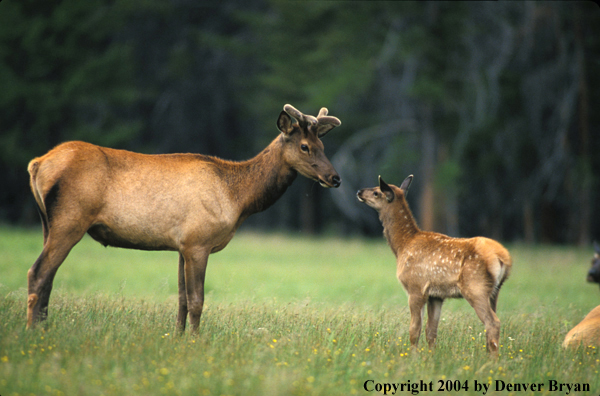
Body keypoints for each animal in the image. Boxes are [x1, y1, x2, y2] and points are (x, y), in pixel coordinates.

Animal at [25, 104, 342, 332]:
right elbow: (197, 301)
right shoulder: (198, 242)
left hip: (47, 223)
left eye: (323, 147)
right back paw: (32, 332)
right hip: (70, 219)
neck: (237, 198)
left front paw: (176, 338)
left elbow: (180, 301)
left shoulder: (181, 245)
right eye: (304, 146)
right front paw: (195, 341)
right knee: (38, 273)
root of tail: (37, 164)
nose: (335, 178)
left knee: (48, 278)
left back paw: (43, 328)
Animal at [358, 175, 512, 354]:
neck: (403, 245)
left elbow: (414, 330)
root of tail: (503, 258)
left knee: (493, 322)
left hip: (476, 287)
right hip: (495, 291)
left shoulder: (415, 287)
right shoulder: (436, 295)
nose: (359, 191)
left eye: (376, 192)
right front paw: (430, 357)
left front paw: (413, 357)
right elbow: (431, 331)